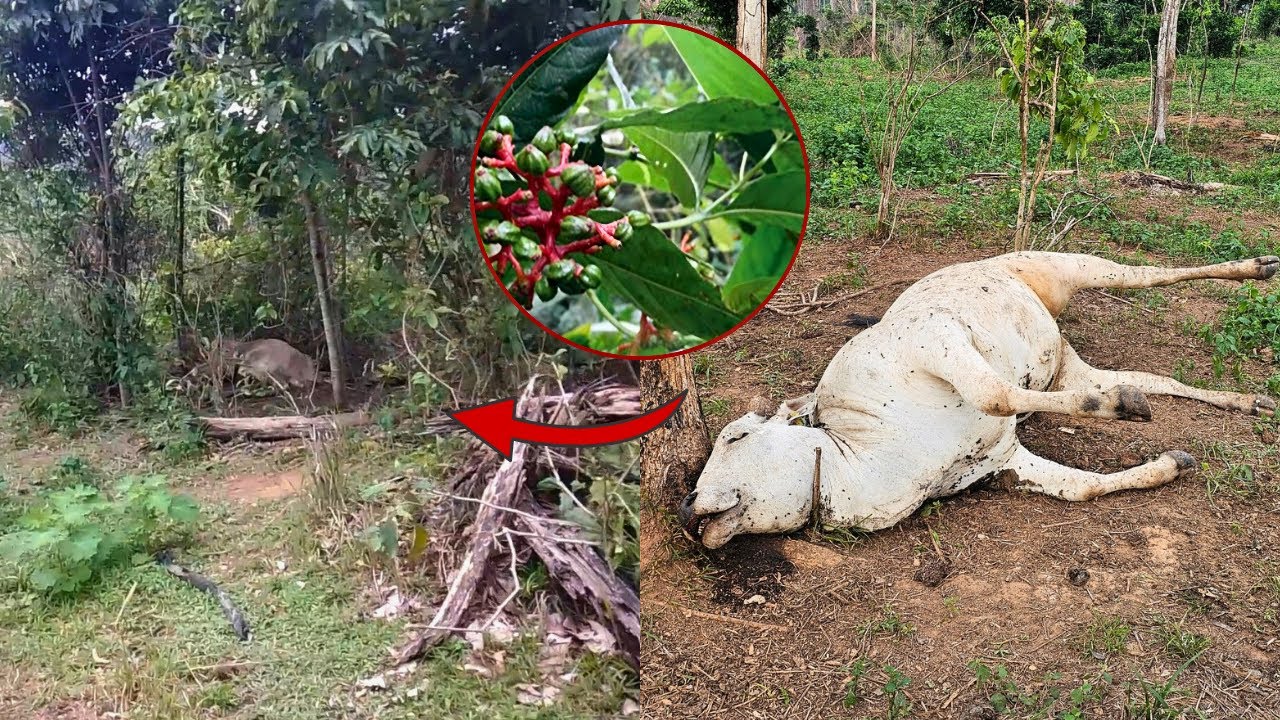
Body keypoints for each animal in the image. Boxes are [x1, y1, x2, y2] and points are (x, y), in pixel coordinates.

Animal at [679, 251, 1278, 549]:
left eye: (735, 435)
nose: (686, 507)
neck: (859, 454)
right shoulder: (1004, 462)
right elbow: (1084, 487)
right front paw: (1170, 464)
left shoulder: (934, 339)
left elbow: (994, 394)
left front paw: (1121, 414)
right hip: (1071, 365)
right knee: (1152, 379)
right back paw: (1248, 400)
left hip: (1071, 264)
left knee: (1147, 275)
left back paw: (1256, 267)